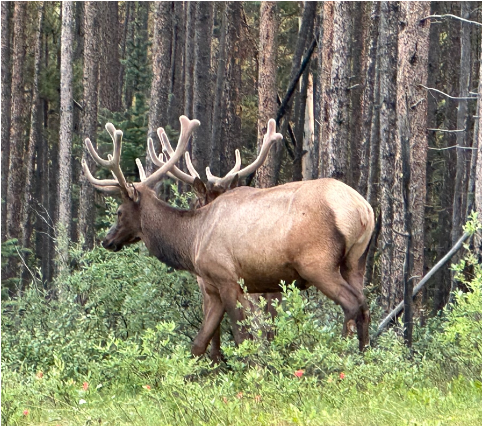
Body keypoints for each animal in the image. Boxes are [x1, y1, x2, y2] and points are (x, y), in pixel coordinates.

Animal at [83, 115, 374, 352]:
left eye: (119, 212)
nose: (107, 240)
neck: (192, 241)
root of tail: (362, 210)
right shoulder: (214, 287)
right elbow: (200, 343)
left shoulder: (227, 278)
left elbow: (242, 336)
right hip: (356, 261)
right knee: (364, 304)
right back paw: (365, 356)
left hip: (317, 262)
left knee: (351, 304)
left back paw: (342, 354)